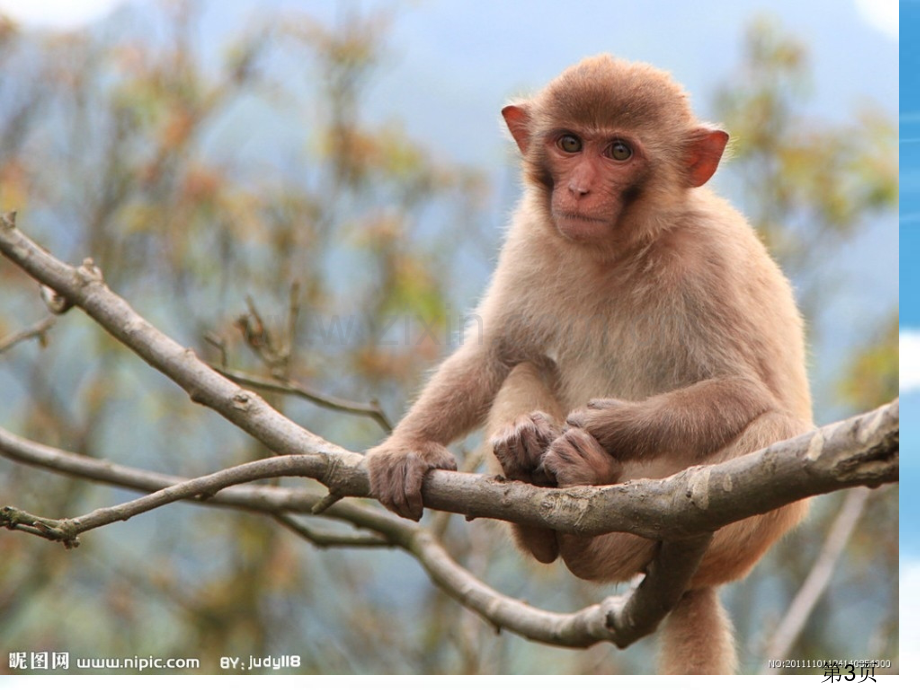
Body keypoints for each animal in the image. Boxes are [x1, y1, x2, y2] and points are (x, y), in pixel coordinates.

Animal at [366, 53, 812, 672]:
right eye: (570, 143)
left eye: (619, 152)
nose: (578, 189)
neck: (619, 250)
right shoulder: (532, 237)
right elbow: (496, 353)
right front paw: (409, 448)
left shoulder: (708, 260)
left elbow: (749, 393)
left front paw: (607, 425)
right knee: (527, 365)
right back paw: (531, 482)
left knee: (779, 428)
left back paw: (594, 505)